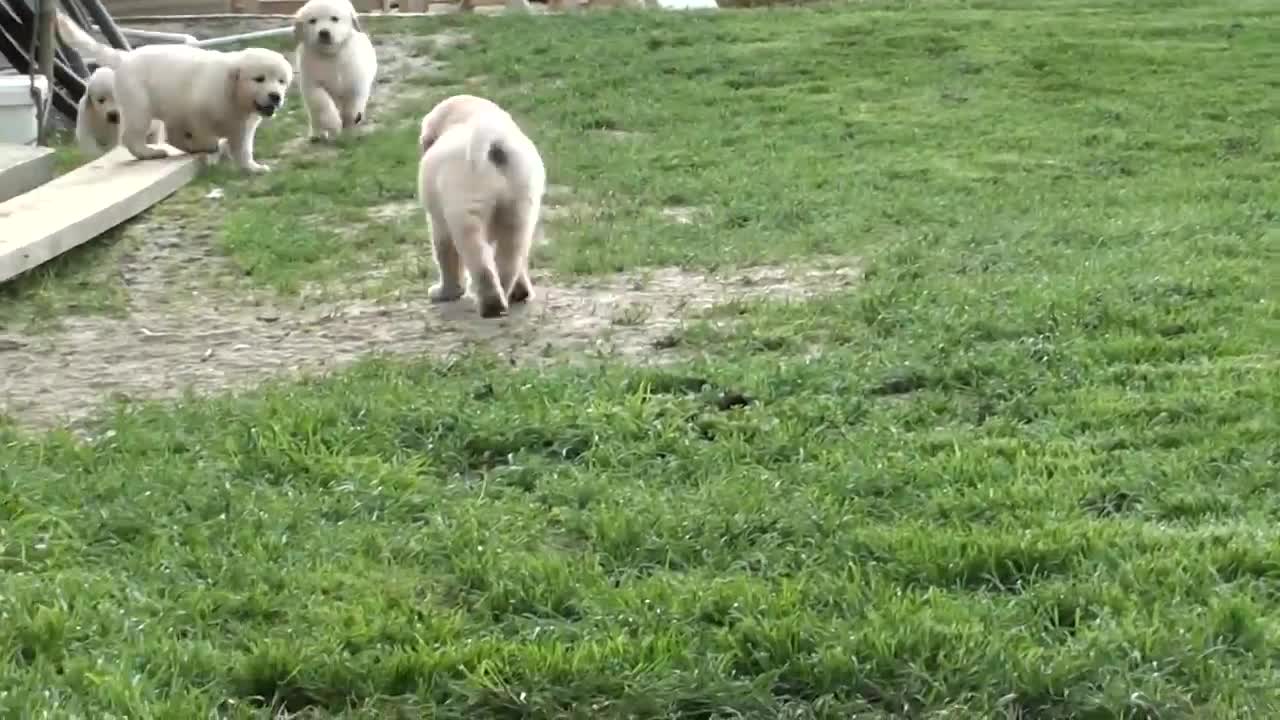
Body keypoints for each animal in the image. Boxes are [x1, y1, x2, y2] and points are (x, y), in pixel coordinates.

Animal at [55, 13, 293, 172]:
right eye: (259, 79)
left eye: (281, 82)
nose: (276, 96)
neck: (233, 93)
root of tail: (125, 57)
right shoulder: (197, 110)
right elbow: (202, 133)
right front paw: (208, 146)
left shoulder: (243, 125)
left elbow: (243, 147)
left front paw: (252, 167)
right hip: (140, 106)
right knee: (131, 136)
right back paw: (150, 152)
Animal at [294, 0, 378, 142]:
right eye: (312, 21)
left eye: (334, 19)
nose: (324, 32)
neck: (332, 56)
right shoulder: (312, 84)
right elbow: (322, 103)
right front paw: (334, 124)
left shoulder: (356, 82)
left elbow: (352, 108)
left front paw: (350, 125)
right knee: (315, 115)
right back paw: (316, 133)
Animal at [414, 94, 545, 317]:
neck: (468, 113)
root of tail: (496, 143)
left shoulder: (440, 219)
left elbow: (443, 249)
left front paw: (444, 292)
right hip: (521, 198)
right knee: (512, 253)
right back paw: (513, 294)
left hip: (466, 201)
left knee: (476, 255)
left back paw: (491, 303)